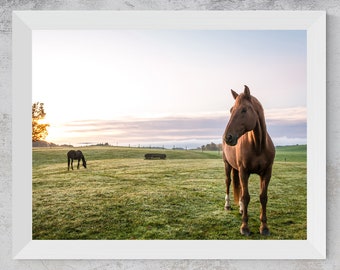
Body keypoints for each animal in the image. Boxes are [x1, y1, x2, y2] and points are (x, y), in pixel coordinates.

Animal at [223, 85, 276, 235]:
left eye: (244, 110)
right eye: (231, 110)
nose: (227, 137)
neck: (258, 145)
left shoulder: (266, 173)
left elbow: (263, 197)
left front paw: (264, 227)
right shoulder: (244, 172)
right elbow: (246, 197)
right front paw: (244, 227)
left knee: (240, 189)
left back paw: (241, 209)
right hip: (227, 165)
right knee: (228, 182)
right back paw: (227, 205)